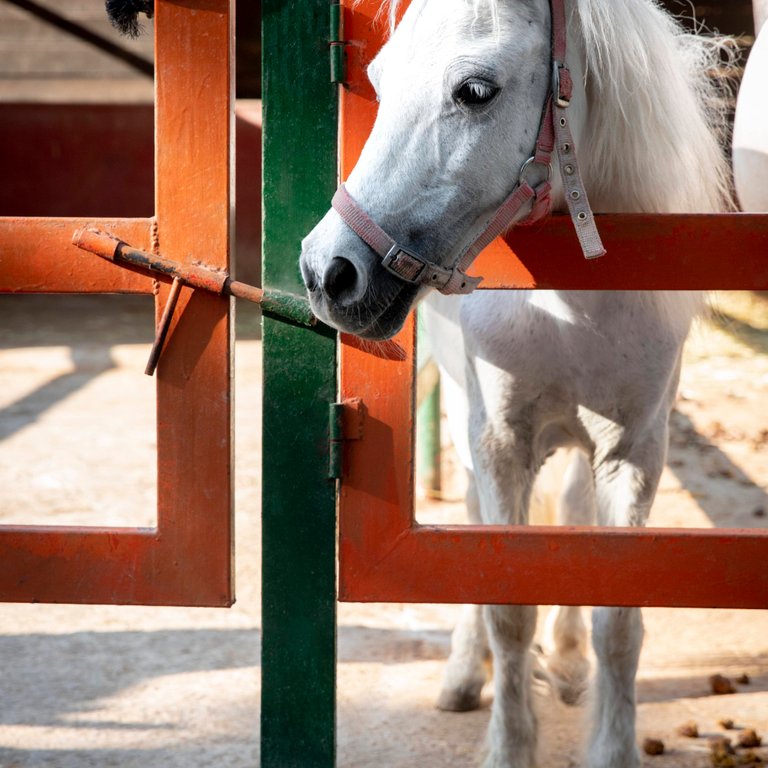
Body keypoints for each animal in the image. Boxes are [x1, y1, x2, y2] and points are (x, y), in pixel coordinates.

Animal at [300, 0, 735, 765]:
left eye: (475, 91)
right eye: (378, 81)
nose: (328, 271)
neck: (568, 306)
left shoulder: (633, 452)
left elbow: (617, 618)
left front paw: (608, 737)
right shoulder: (500, 440)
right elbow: (507, 603)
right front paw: (507, 740)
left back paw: (565, 661)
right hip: (464, 418)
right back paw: (462, 673)